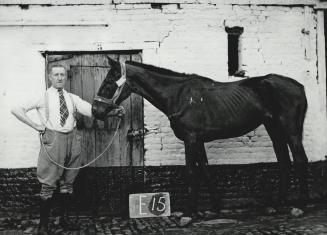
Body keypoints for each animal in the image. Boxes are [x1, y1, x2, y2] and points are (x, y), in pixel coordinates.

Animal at [91, 57, 310, 222]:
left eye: (109, 82)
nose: (95, 111)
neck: (179, 95)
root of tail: (299, 86)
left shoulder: (190, 138)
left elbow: (192, 172)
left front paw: (189, 213)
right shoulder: (199, 141)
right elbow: (205, 170)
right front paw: (214, 207)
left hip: (290, 129)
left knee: (300, 160)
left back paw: (301, 205)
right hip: (273, 128)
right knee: (283, 160)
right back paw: (279, 204)